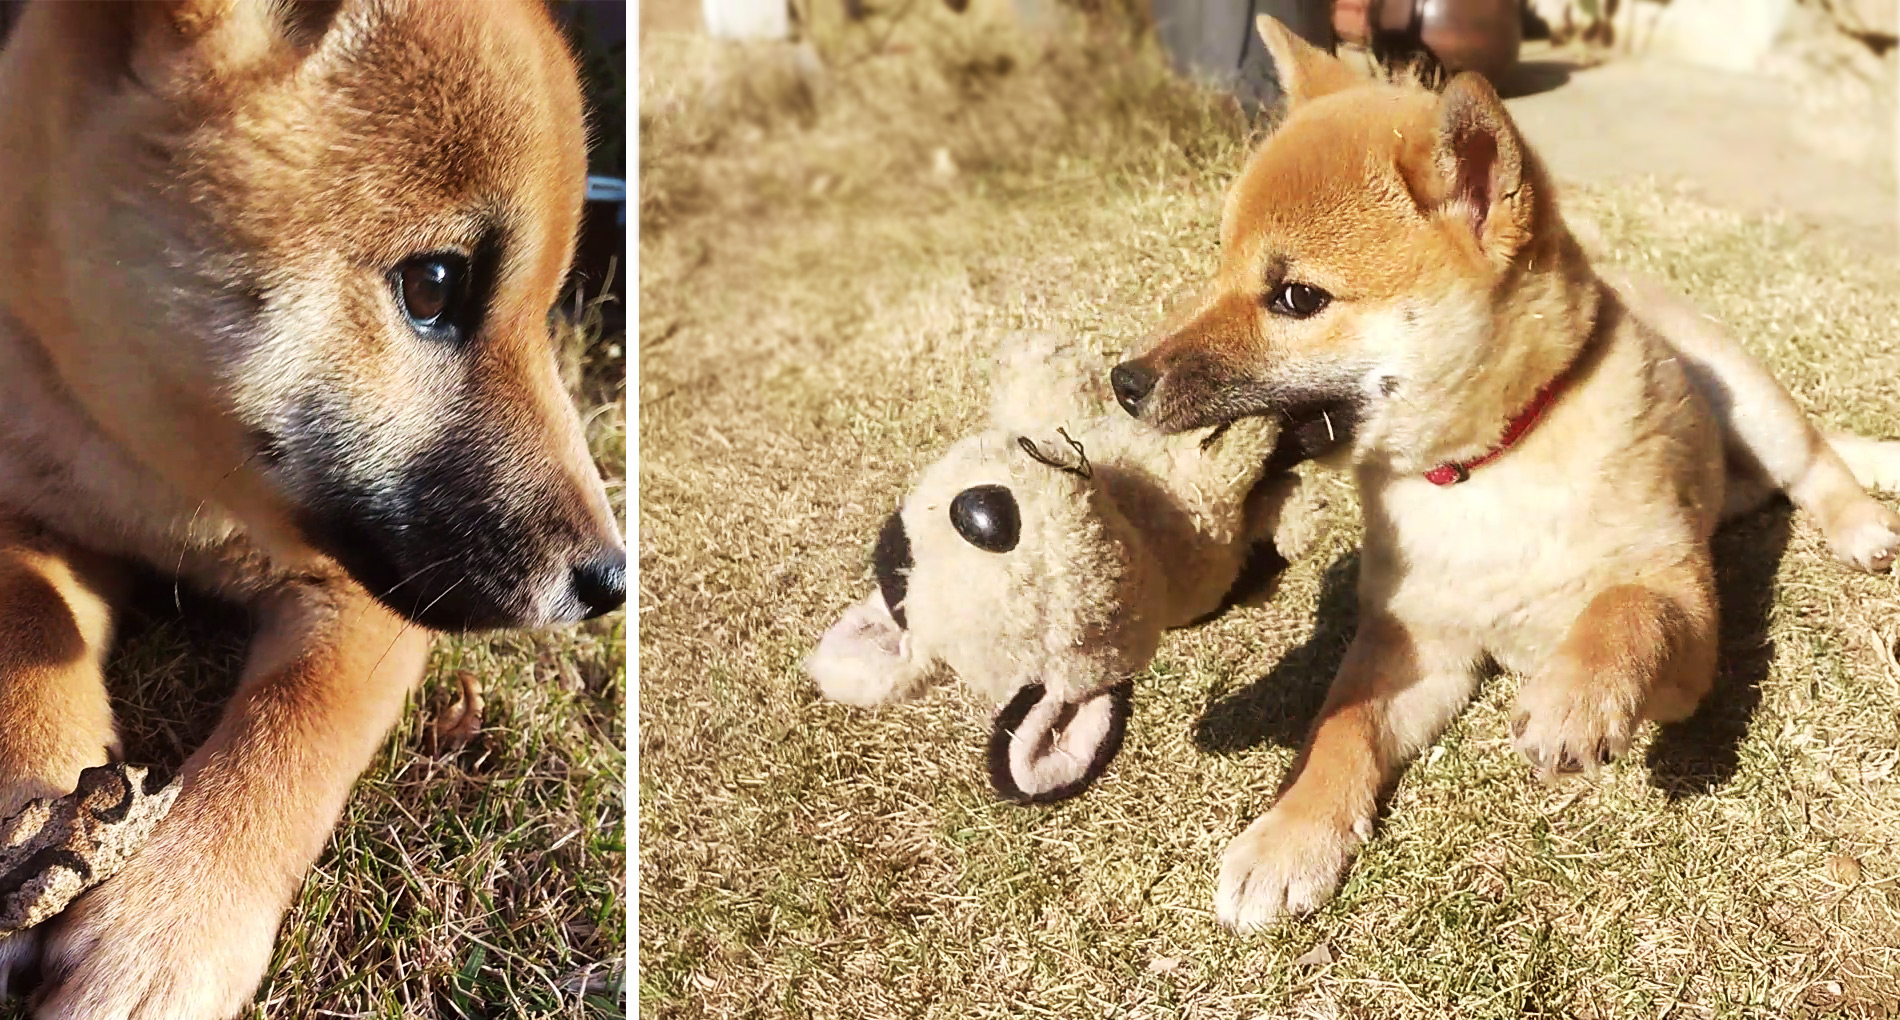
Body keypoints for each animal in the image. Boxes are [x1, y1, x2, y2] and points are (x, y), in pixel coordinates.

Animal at [0, 3, 623, 1010]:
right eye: (434, 286)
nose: (611, 581)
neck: (178, 495)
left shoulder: (365, 601)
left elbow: (290, 737)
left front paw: (169, 932)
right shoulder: (28, 498)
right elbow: (30, 625)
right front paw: (34, 807)